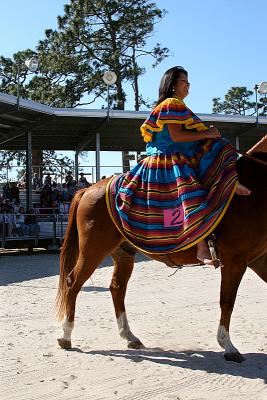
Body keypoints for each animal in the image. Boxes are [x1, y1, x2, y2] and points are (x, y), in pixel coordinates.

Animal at [56, 152, 267, 362]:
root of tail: (88, 190)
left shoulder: (258, 260)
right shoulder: (234, 261)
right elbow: (227, 301)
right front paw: (228, 346)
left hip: (124, 255)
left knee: (117, 288)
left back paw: (129, 336)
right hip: (93, 250)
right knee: (73, 283)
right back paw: (66, 335)